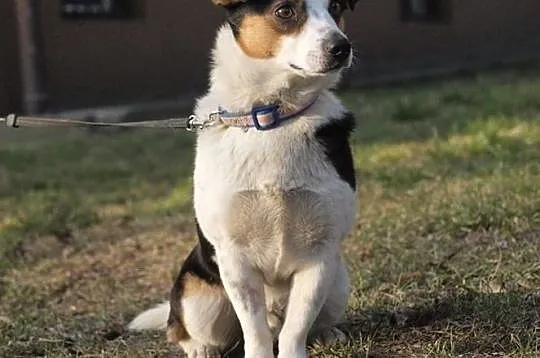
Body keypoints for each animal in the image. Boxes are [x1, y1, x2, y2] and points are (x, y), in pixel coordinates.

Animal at [127, 1, 358, 356]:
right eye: (284, 11)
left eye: (335, 8)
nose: (341, 47)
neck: (272, 116)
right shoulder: (234, 259)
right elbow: (255, 331)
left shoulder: (320, 256)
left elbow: (296, 328)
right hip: (199, 299)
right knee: (180, 328)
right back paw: (199, 347)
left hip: (338, 281)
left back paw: (326, 333)